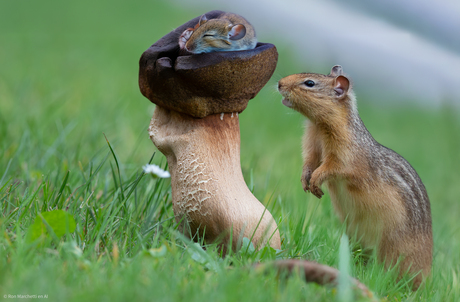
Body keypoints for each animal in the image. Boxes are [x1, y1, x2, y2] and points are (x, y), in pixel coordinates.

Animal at [278, 65, 434, 288]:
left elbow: (331, 167)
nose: (279, 83)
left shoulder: (344, 155)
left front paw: (316, 180)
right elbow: (309, 162)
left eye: (309, 83)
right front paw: (305, 179)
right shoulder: (311, 146)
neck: (319, 126)